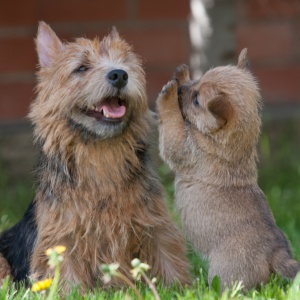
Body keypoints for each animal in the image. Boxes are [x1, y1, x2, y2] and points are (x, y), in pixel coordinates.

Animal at [158, 48, 298, 290]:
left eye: (196, 100)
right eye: (198, 79)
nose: (181, 88)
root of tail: (276, 252)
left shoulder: (180, 145)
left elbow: (171, 120)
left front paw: (168, 95)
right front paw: (181, 75)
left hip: (224, 273)